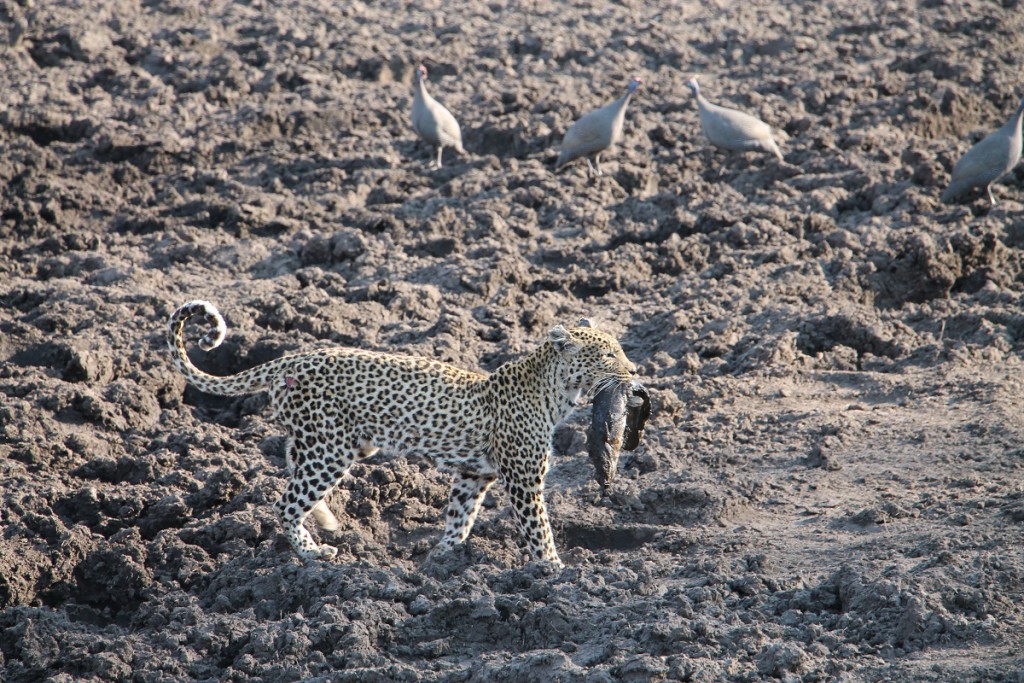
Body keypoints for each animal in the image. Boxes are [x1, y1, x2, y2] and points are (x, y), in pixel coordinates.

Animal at [165, 301, 638, 565]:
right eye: (607, 355)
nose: (634, 371)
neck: (555, 391)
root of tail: (294, 357)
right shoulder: (523, 480)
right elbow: (538, 528)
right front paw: (554, 571)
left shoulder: (473, 474)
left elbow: (459, 517)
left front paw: (441, 559)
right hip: (330, 451)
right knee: (285, 502)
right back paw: (313, 552)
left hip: (329, 441)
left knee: (289, 462)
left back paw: (326, 521)